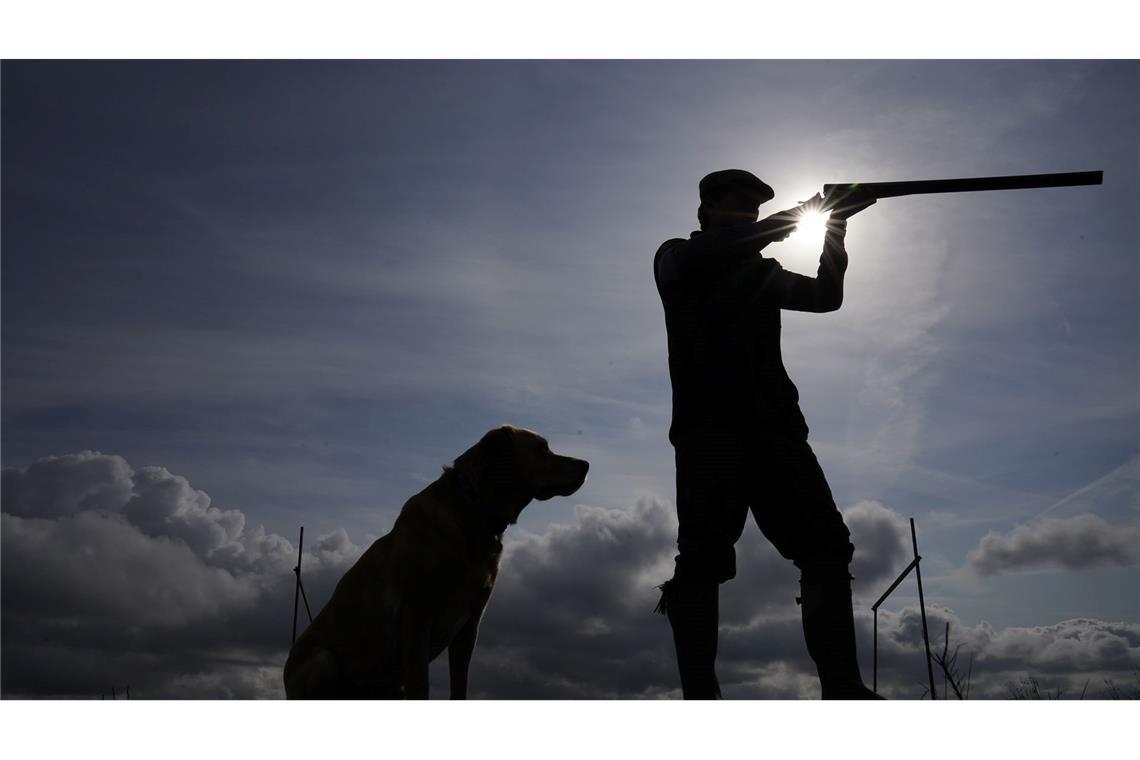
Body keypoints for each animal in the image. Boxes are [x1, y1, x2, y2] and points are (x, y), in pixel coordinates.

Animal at [282, 426, 588, 697]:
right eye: (541, 449)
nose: (586, 464)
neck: (474, 509)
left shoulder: (470, 624)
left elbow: (459, 689)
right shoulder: (418, 613)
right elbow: (421, 687)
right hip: (323, 661)